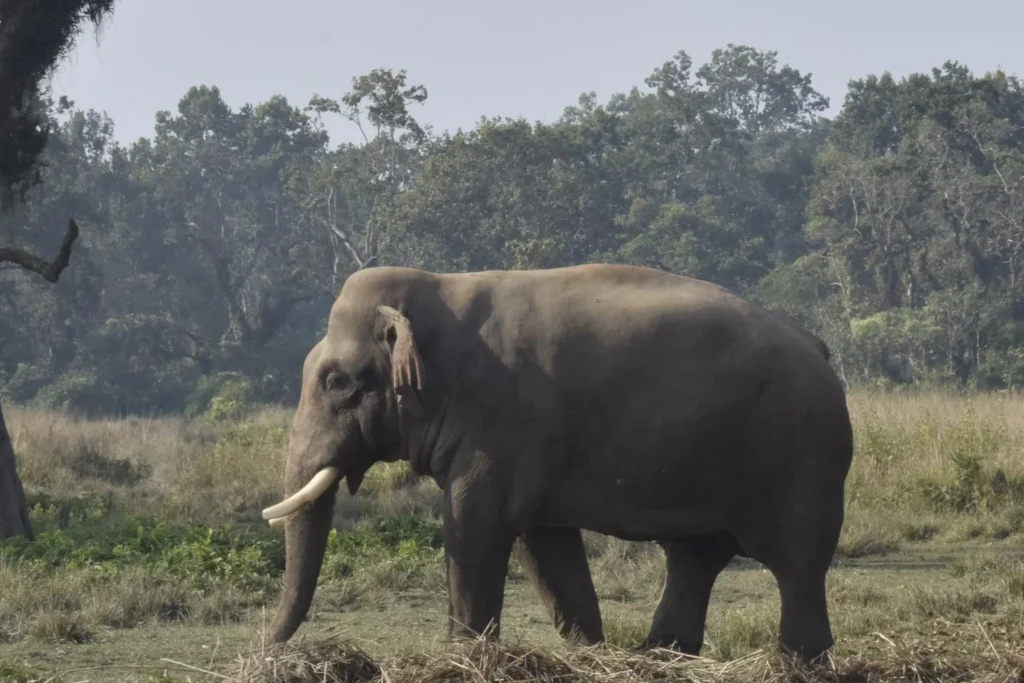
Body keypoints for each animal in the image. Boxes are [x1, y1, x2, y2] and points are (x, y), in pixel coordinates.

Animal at [260, 263, 854, 662]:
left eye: (338, 383)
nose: (266, 651)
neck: (441, 288)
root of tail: (817, 346)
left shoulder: (506, 418)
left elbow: (479, 522)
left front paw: (464, 658)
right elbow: (541, 540)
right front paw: (589, 653)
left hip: (805, 450)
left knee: (797, 563)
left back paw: (796, 660)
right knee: (694, 556)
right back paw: (657, 655)